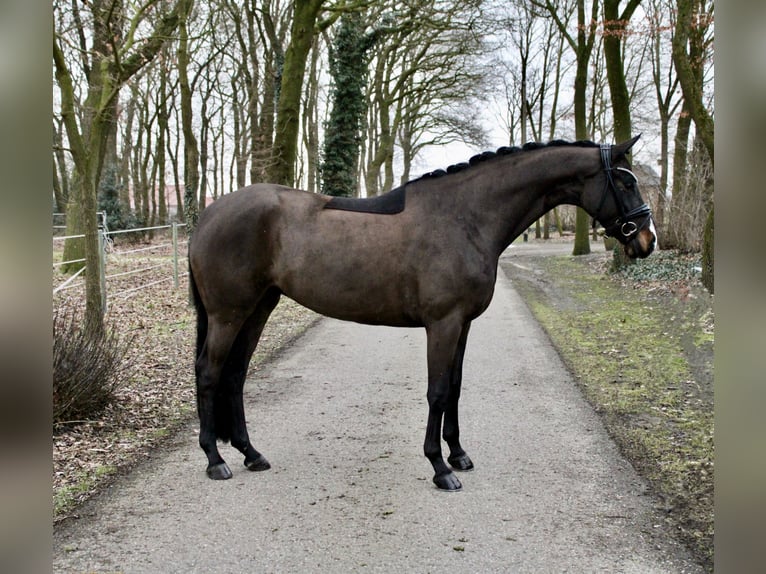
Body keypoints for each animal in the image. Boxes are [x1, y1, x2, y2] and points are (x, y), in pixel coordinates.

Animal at [188, 136, 656, 491]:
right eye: (625, 181)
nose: (647, 240)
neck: (465, 217)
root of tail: (207, 215)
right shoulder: (443, 323)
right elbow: (437, 391)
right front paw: (440, 467)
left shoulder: (463, 325)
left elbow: (456, 387)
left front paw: (459, 454)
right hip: (229, 313)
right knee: (210, 373)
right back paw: (215, 460)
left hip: (258, 307)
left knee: (235, 375)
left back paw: (251, 454)